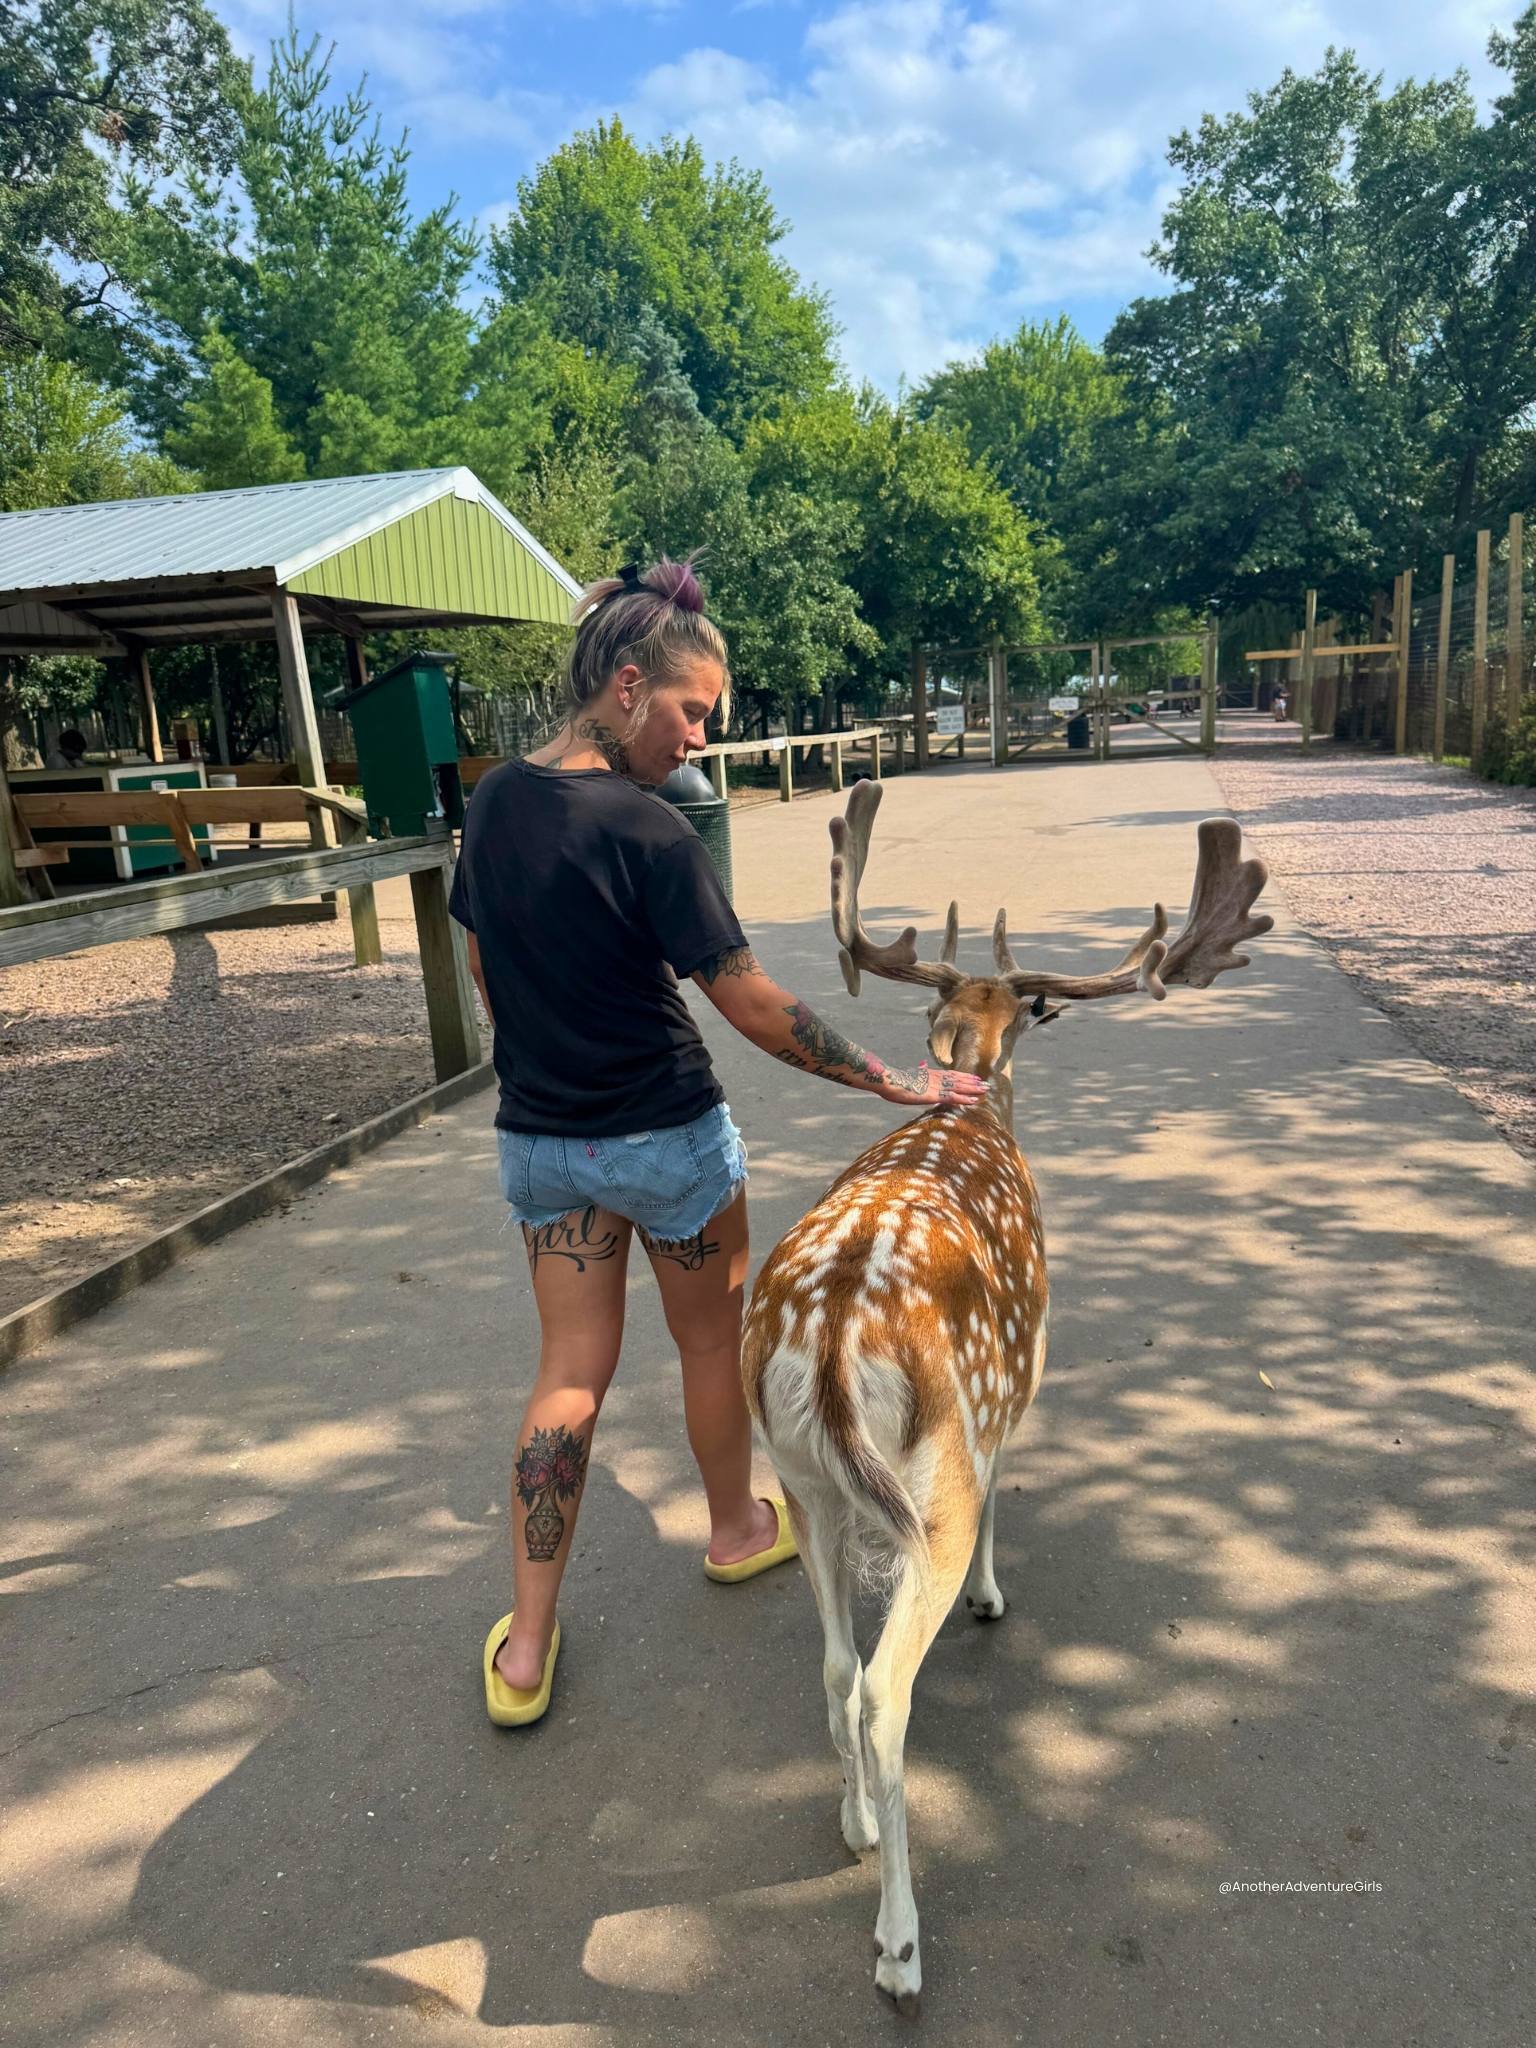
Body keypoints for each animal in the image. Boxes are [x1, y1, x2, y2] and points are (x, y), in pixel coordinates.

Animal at [740, 780, 1272, 2016]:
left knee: (833, 1663)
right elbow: (1008, 1492)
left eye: (1008, 1003)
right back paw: (899, 1944)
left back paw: (850, 1826)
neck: (972, 1109)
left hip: (803, 1478)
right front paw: (995, 1596)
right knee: (884, 1686)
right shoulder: (1016, 1385)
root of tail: (828, 1329)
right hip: (930, 1474)